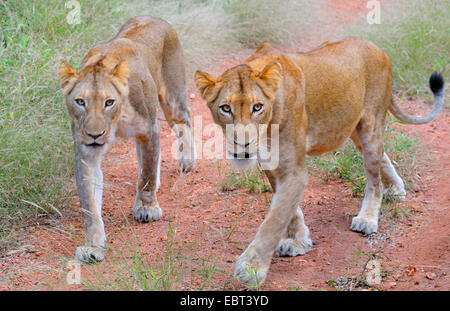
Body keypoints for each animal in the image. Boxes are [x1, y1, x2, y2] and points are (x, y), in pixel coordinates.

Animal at [58, 16, 195, 264]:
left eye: (109, 102)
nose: (94, 135)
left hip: (172, 96)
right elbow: (89, 205)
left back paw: (187, 161)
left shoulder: (149, 129)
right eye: (80, 102)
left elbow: (147, 177)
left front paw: (147, 209)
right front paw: (93, 246)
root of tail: (154, 17)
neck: (116, 120)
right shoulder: (86, 153)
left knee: (185, 121)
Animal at [195, 37, 444, 288]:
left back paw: (368, 218)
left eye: (257, 107)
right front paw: (299, 242)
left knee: (374, 180)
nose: (243, 145)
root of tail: (378, 49)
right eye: (226, 108)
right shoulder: (272, 164)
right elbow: (288, 210)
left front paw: (251, 269)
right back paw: (396, 189)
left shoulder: (293, 170)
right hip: (353, 127)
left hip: (371, 124)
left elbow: (274, 219)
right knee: (382, 156)